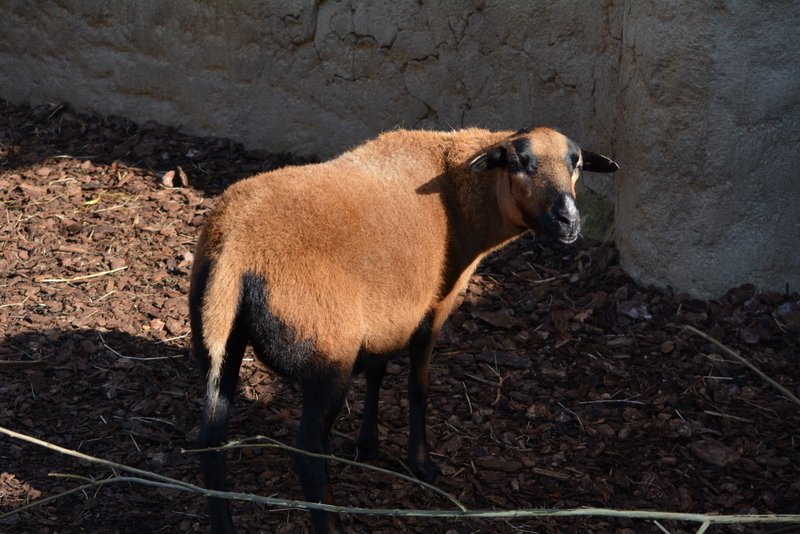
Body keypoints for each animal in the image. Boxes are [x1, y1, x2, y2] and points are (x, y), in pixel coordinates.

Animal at [189, 123, 620, 532]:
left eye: (577, 163)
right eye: (519, 162)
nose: (569, 221)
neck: (458, 196)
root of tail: (236, 248)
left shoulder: (385, 315)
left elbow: (377, 370)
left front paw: (368, 445)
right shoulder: (435, 305)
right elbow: (418, 385)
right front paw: (422, 464)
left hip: (218, 340)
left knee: (210, 442)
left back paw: (223, 525)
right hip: (326, 352)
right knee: (309, 453)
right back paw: (333, 523)